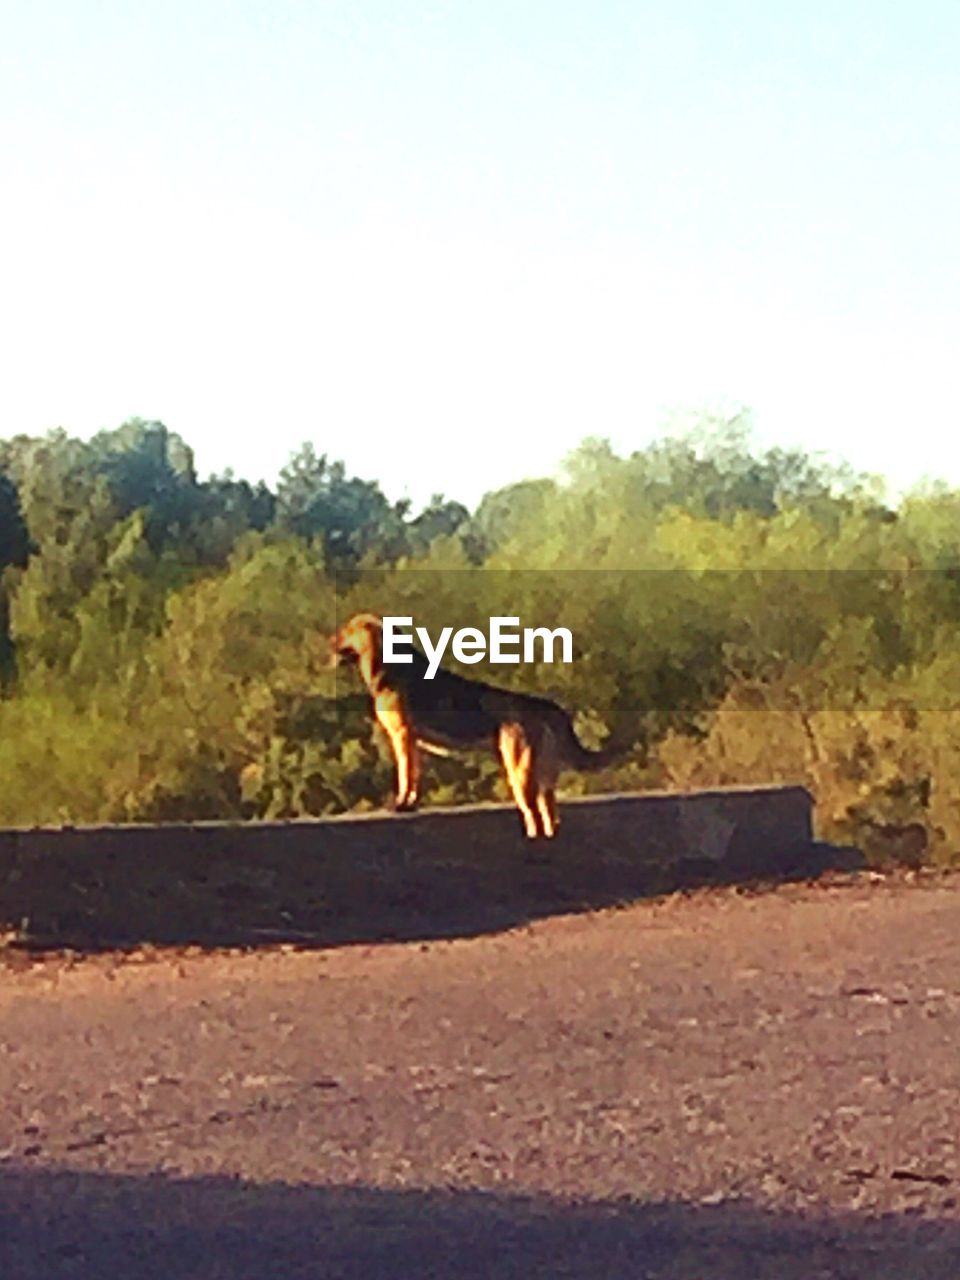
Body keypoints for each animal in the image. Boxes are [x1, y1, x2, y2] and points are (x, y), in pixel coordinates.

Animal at [330, 611, 616, 839]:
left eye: (347, 629)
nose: (329, 641)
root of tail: (544, 705)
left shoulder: (402, 736)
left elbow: (404, 776)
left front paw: (401, 804)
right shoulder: (414, 743)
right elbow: (414, 778)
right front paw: (410, 804)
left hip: (519, 769)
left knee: (532, 813)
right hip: (544, 774)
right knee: (549, 817)